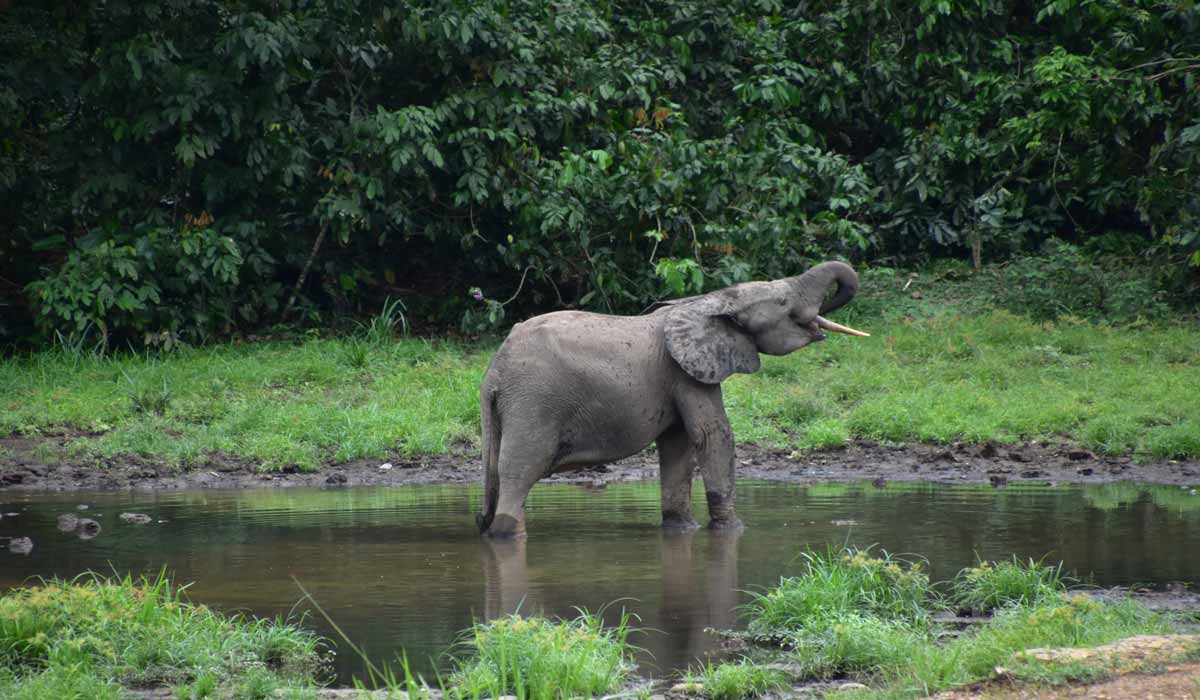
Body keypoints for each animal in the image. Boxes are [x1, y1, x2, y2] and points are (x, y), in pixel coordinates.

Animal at [476, 261, 868, 537]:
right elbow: (712, 435)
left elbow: (679, 444)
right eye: (783, 302)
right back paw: (508, 534)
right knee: (521, 470)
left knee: (497, 472)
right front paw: (733, 531)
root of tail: (494, 372)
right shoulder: (684, 372)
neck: (710, 300)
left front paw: (682, 529)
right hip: (535, 401)